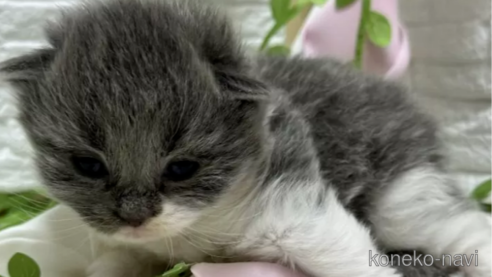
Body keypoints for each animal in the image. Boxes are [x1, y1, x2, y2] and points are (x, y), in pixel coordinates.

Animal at [0, 0, 492, 276]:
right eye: (88, 165)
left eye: (182, 168)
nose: (134, 217)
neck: (199, 228)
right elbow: (103, 255)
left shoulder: (298, 208)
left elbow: (350, 260)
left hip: (402, 201)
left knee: (463, 229)